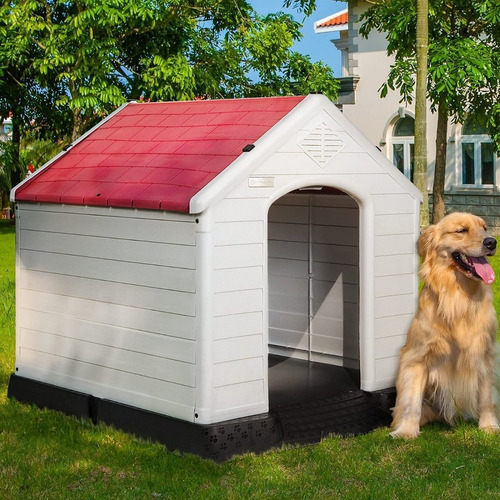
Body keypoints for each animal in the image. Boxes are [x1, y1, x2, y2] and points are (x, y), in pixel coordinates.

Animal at [392, 212, 498, 438]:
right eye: (461, 230)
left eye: (484, 228)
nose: (492, 242)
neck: (458, 297)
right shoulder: (416, 357)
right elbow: (411, 400)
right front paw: (406, 430)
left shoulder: (487, 354)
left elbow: (487, 398)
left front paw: (489, 426)